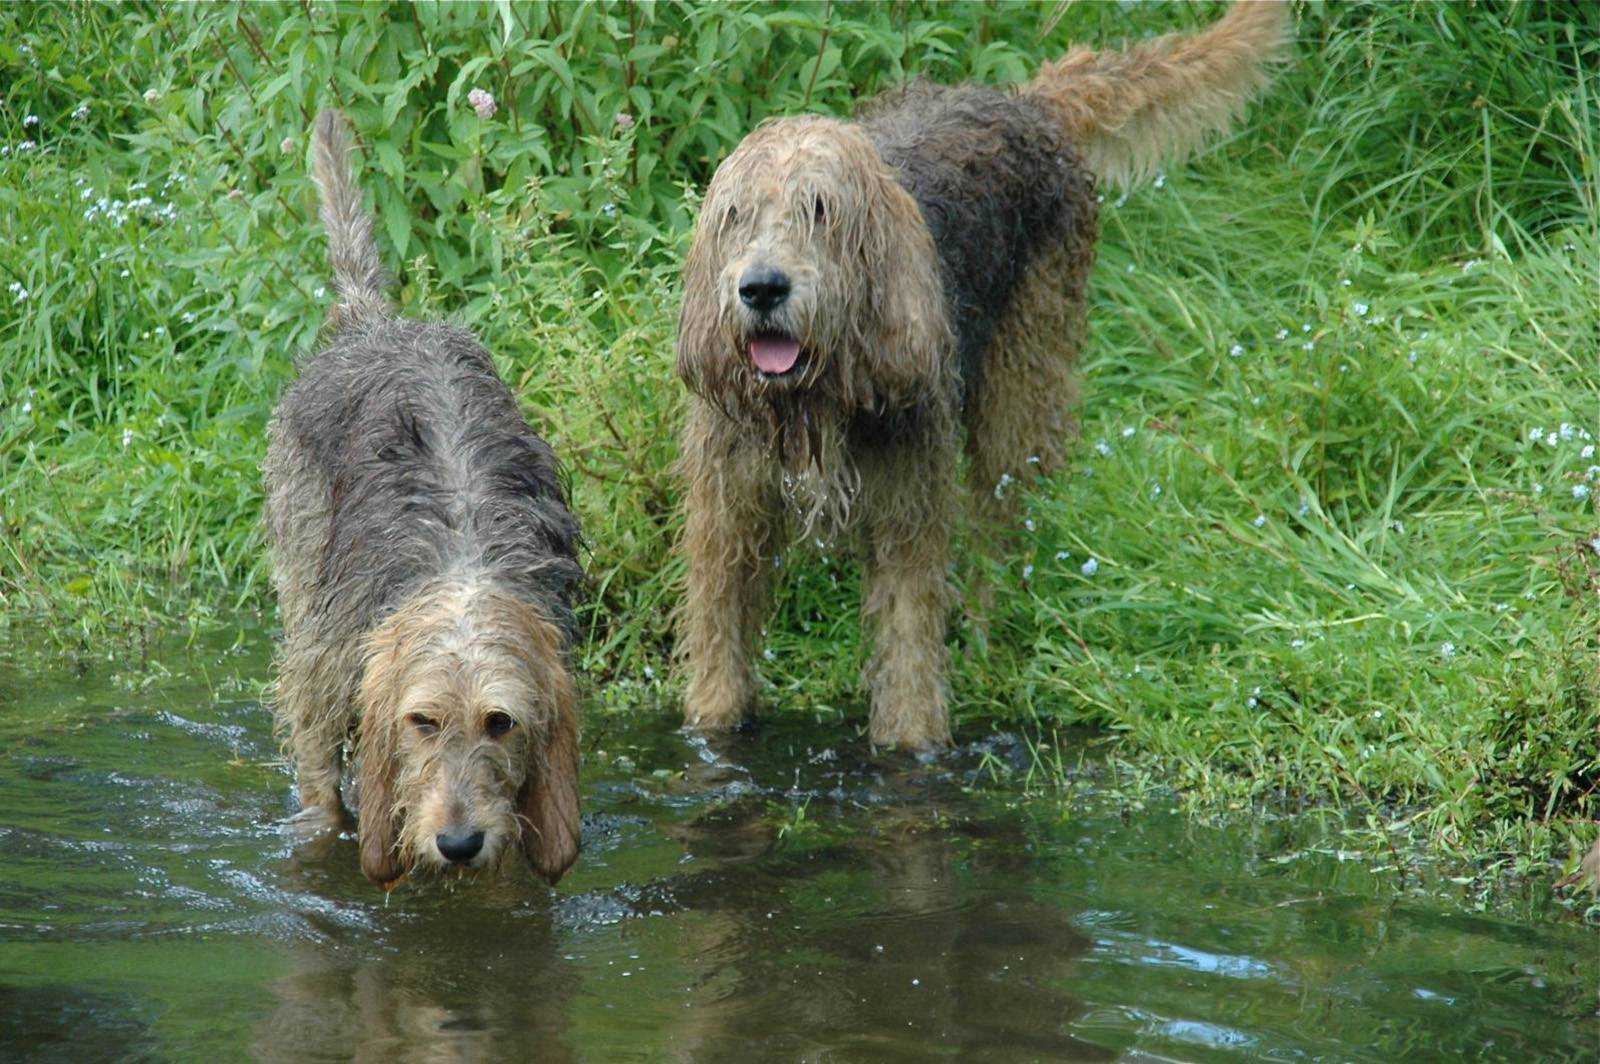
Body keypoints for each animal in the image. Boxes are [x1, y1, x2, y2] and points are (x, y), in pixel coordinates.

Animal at [265, 109, 585, 889]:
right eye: (422, 722)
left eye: (501, 723)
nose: (459, 842)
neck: (461, 561)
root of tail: (371, 320)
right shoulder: (337, 664)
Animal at [672, 2, 1286, 745]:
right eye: (735, 215)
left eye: (822, 210)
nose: (762, 288)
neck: (817, 398)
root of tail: (1026, 102)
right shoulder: (726, 519)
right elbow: (719, 649)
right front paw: (710, 734)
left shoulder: (907, 515)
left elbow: (910, 648)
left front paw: (913, 745)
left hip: (1017, 398)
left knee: (1000, 530)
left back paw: (987, 644)